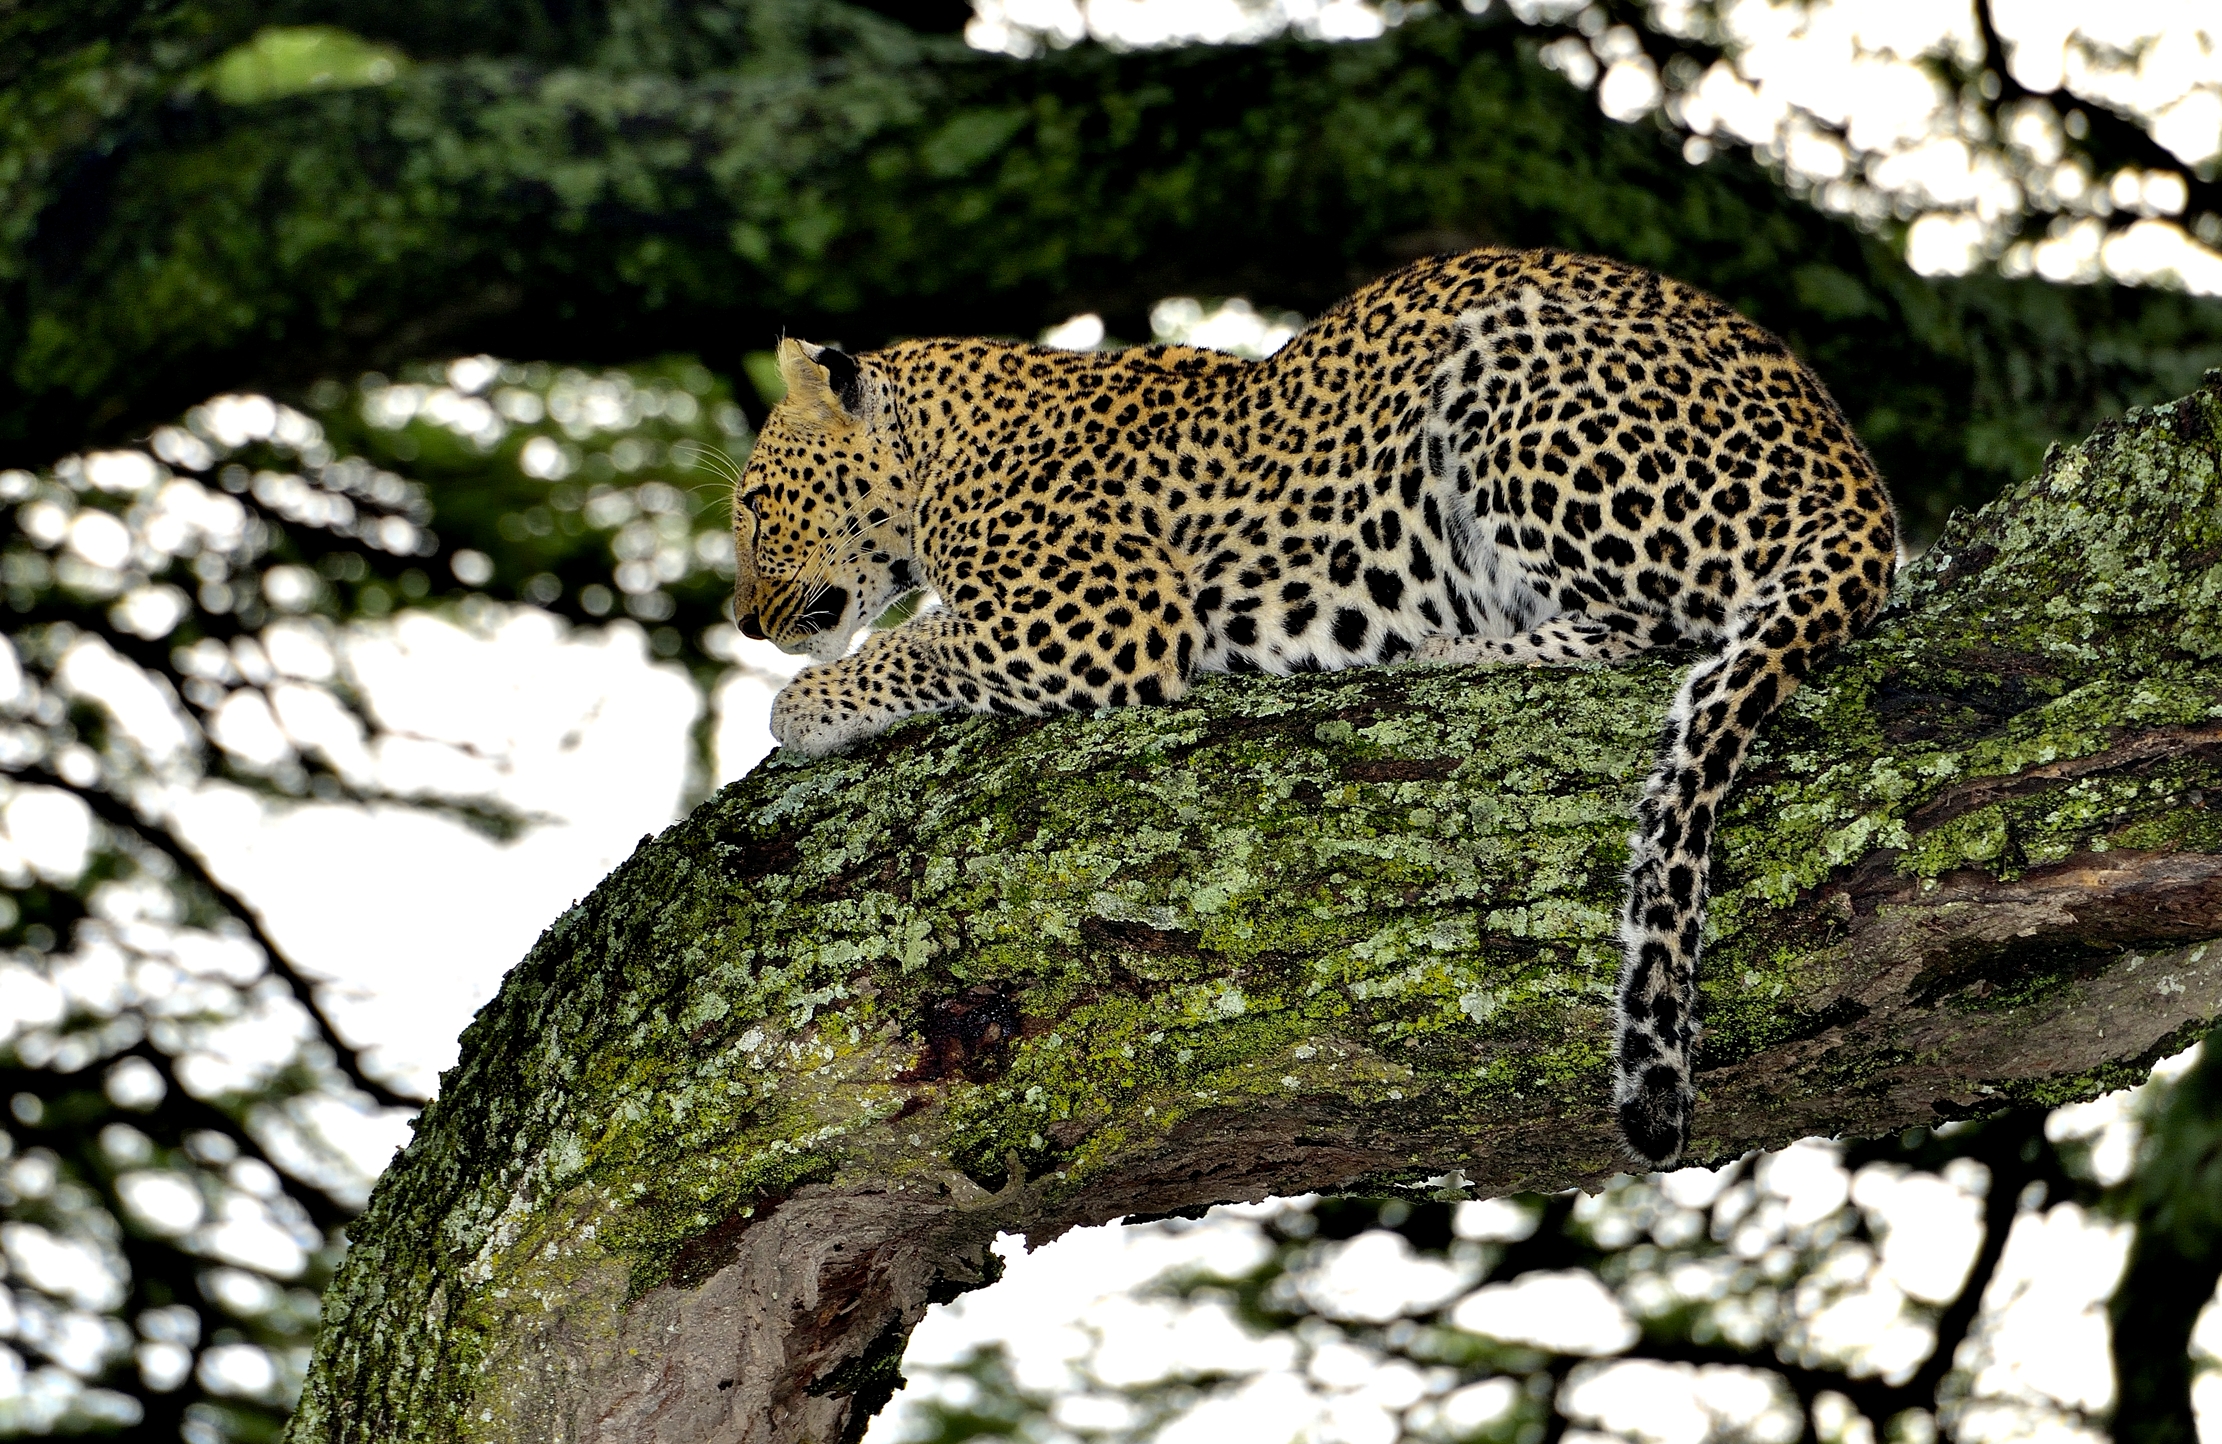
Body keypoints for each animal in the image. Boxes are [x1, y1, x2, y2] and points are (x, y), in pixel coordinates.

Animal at [731, 248, 1898, 1165]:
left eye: (749, 505)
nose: (742, 620)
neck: (936, 444)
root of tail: (1856, 483)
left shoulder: (1102, 613)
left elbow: (920, 639)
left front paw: (806, 703)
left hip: (1513, 377)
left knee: (1647, 626)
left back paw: (1445, 650)